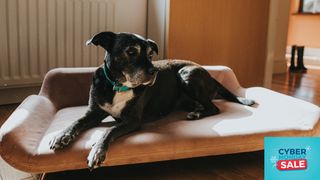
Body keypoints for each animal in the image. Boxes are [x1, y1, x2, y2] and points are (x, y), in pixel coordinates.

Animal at [48, 31, 255, 170]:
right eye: (131, 51)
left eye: (150, 54)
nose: (154, 71)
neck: (119, 85)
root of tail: (210, 75)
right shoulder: (93, 113)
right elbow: (76, 122)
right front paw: (61, 135)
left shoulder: (132, 121)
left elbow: (109, 130)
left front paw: (97, 150)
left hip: (186, 74)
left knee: (214, 108)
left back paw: (197, 113)